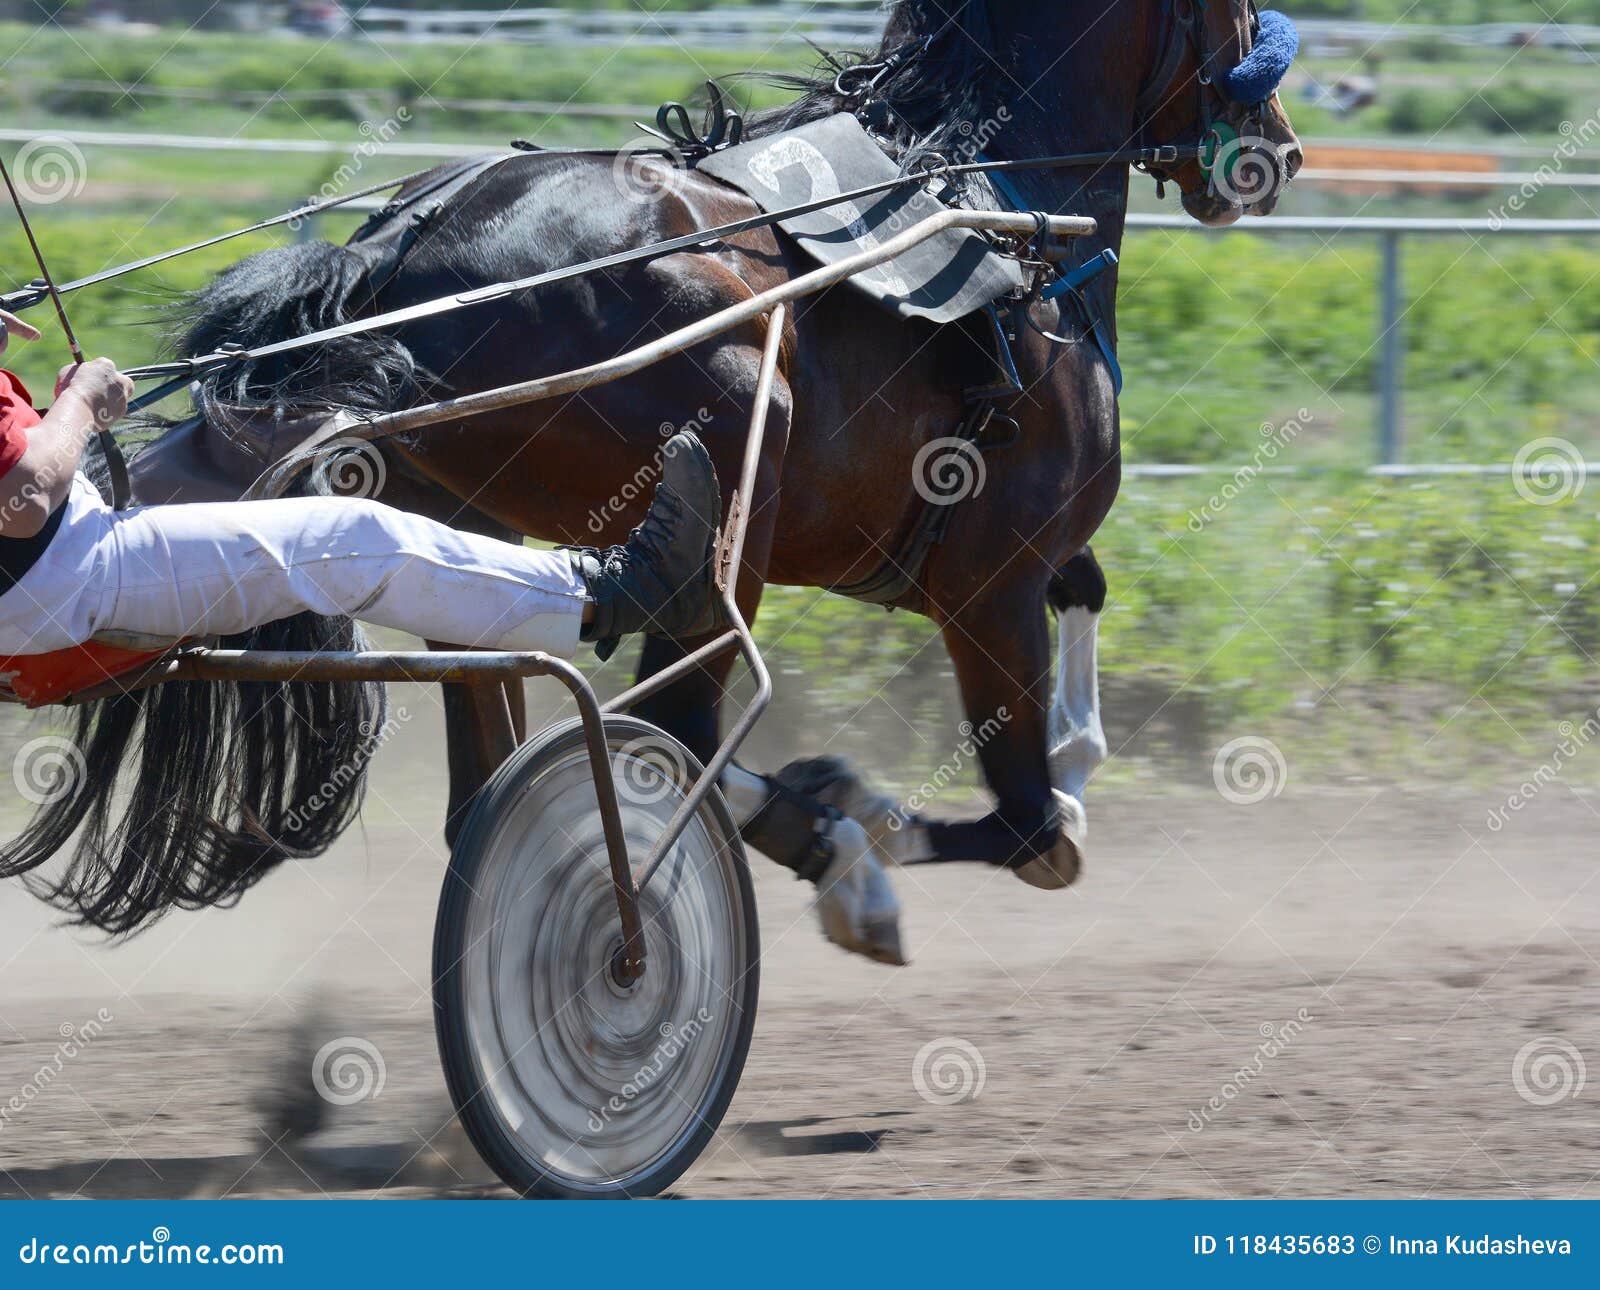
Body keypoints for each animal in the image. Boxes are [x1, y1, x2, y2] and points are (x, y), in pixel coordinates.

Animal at [140, 2, 1299, 941]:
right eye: (1239, 8)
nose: (1277, 153)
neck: (1010, 220)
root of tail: (396, 253)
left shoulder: (1015, 556)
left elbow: (1087, 601)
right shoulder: (991, 584)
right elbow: (1035, 834)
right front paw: (859, 840)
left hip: (464, 524)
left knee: (496, 773)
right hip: (738, 455)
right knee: (677, 727)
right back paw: (806, 840)